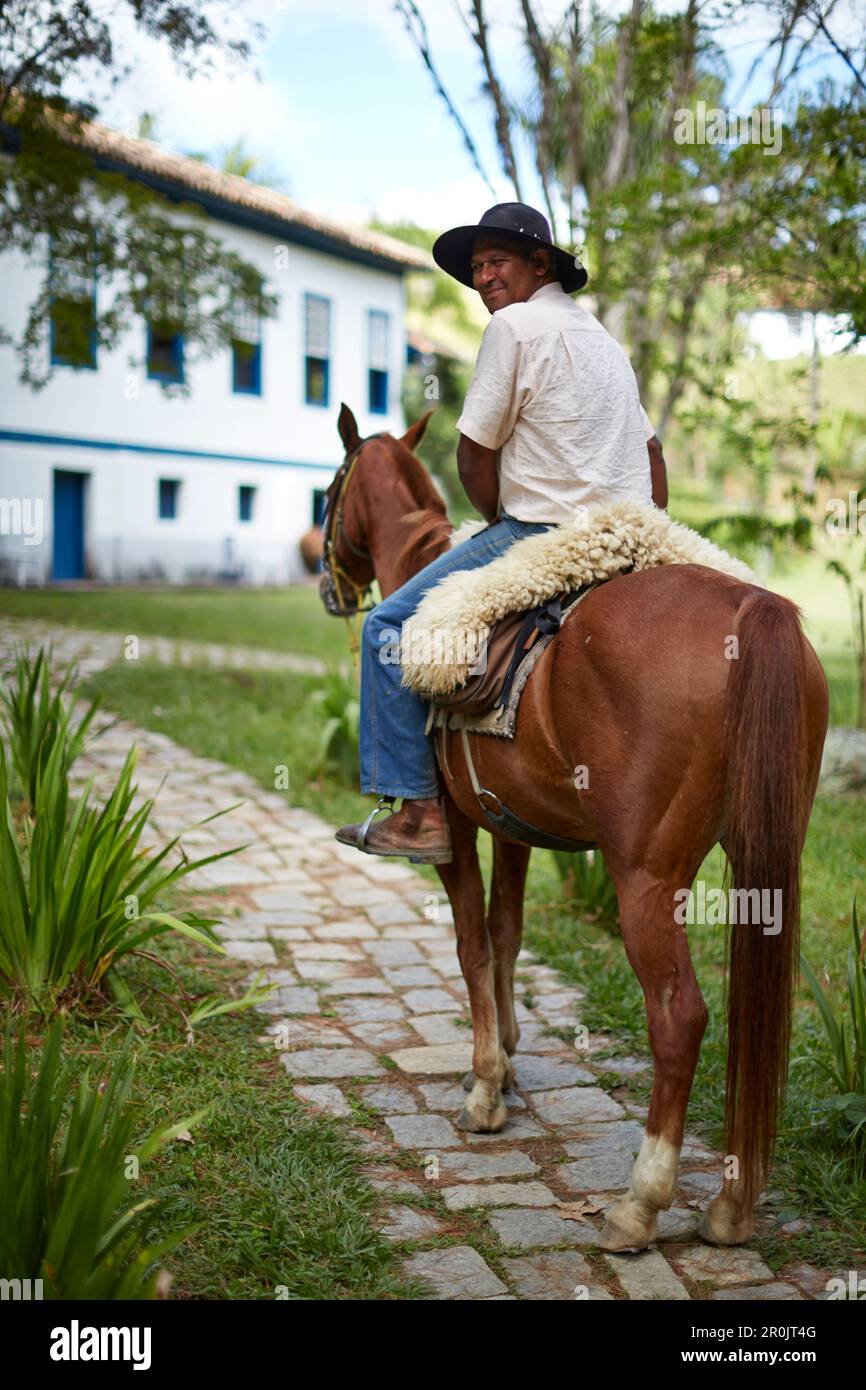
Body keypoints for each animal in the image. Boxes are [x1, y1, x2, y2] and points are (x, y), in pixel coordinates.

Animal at [322, 405, 828, 1262]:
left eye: (329, 491)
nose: (327, 581)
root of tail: (748, 611)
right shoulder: (511, 823)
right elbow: (507, 932)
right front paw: (507, 1059)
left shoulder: (457, 828)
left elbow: (470, 940)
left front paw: (485, 1091)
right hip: (768, 856)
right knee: (752, 1014)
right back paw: (731, 1206)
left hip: (644, 877)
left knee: (680, 1017)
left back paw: (639, 1206)